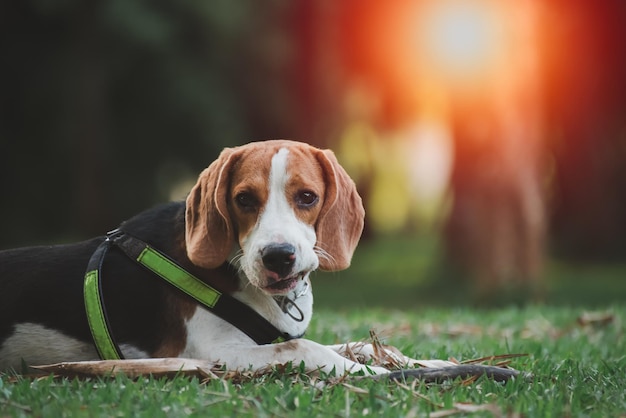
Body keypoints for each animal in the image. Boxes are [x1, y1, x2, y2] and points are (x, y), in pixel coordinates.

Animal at [0, 140, 422, 376]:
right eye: (244, 200)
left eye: (307, 197)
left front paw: (423, 366)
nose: (278, 257)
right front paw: (369, 373)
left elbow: (368, 346)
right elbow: (305, 348)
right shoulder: (212, 353)